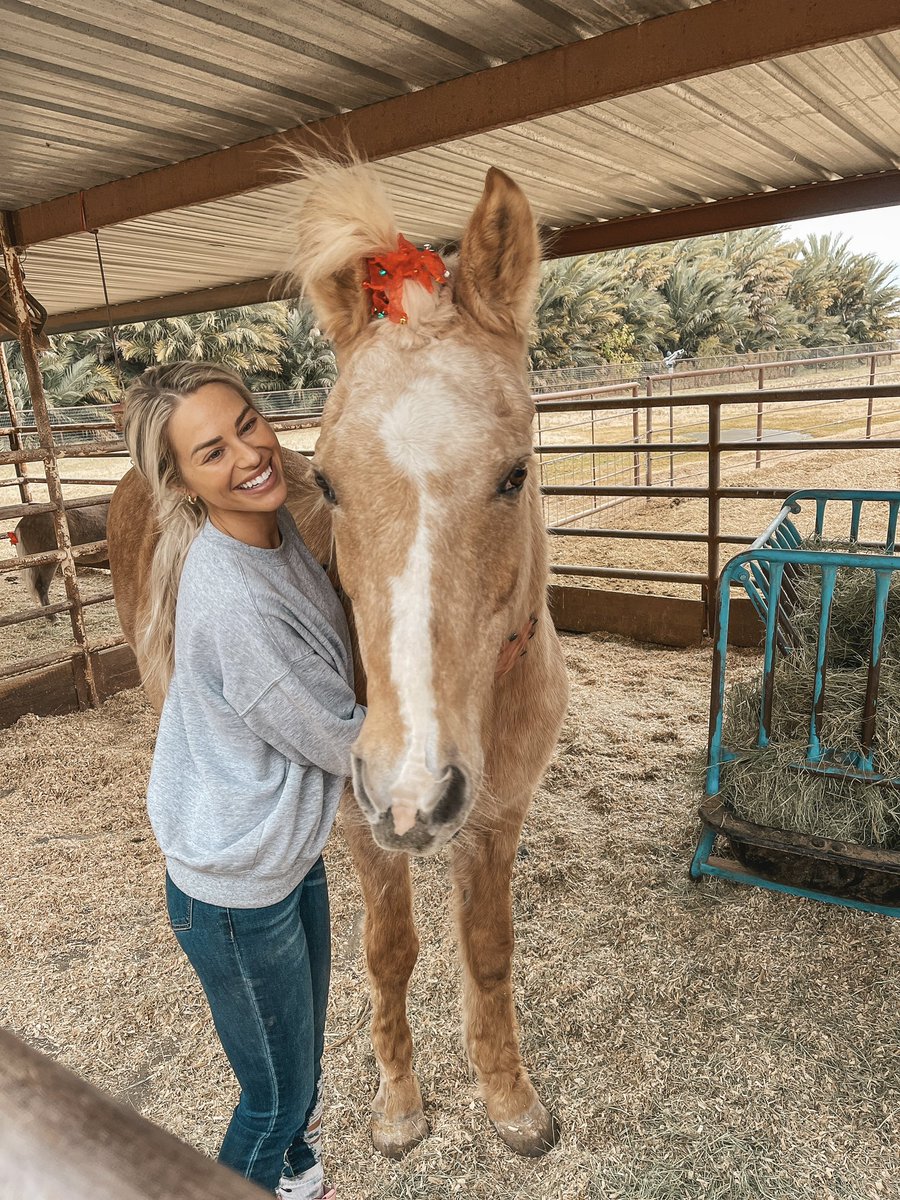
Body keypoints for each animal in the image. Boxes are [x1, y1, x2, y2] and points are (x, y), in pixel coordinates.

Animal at [107, 162, 571, 1161]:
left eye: (514, 473)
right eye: (328, 480)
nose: (413, 788)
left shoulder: (497, 818)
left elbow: (489, 952)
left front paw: (510, 1102)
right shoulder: (368, 824)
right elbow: (390, 953)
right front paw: (400, 1108)